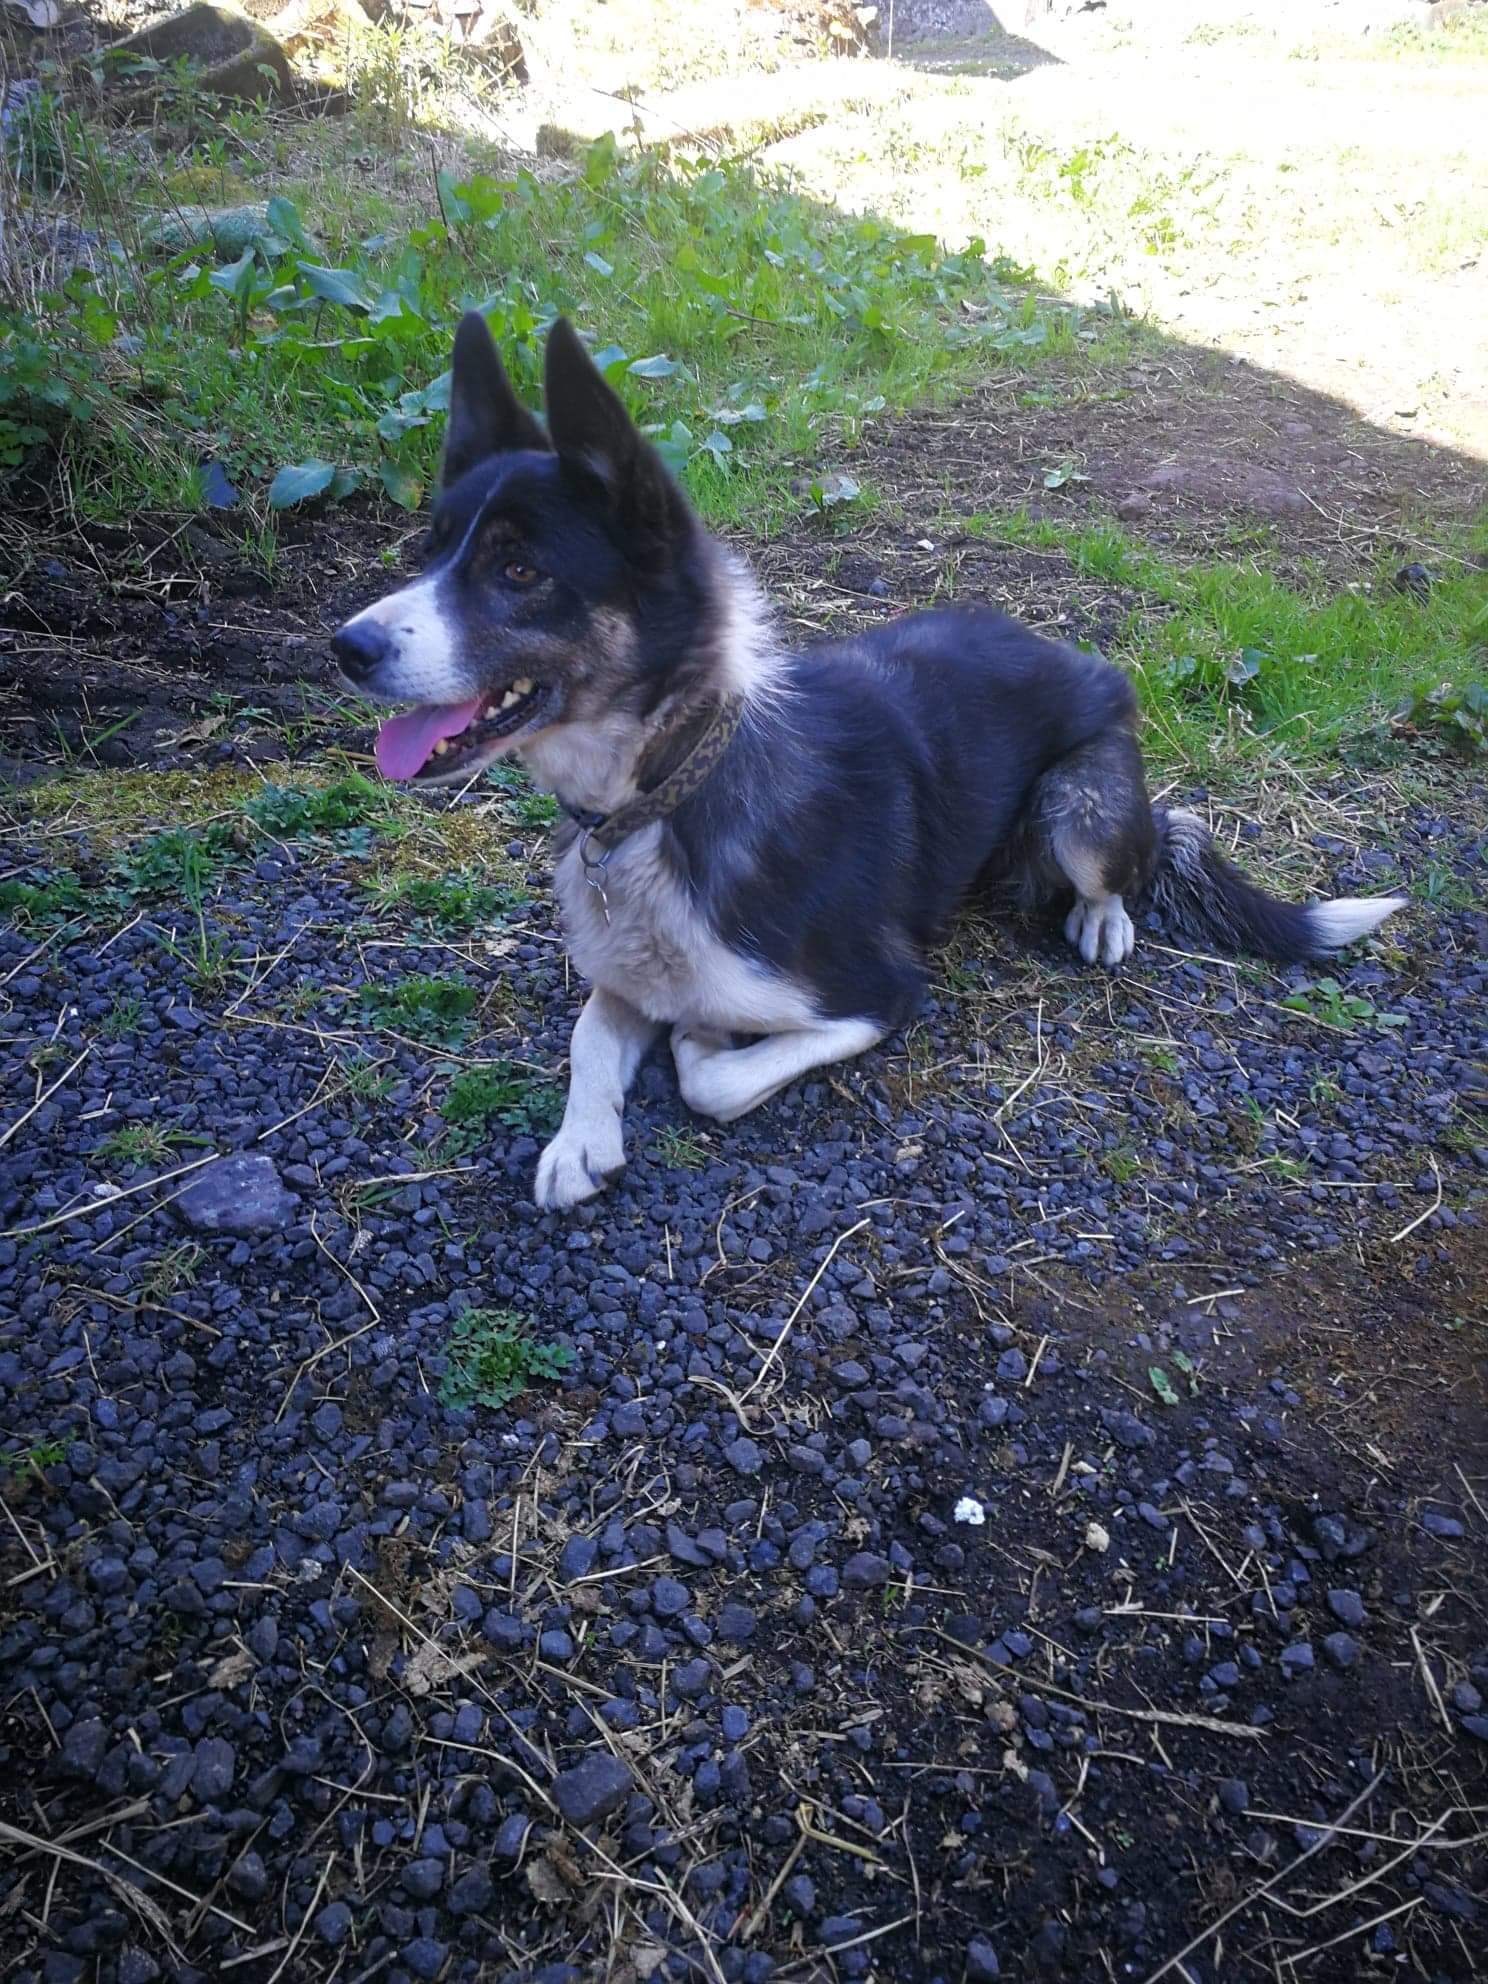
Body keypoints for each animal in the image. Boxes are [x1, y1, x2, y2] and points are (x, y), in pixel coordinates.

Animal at [332, 313, 1406, 1211]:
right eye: (430, 552)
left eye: (519, 570)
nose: (346, 648)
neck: (671, 789)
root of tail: (1090, 668)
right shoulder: (626, 969)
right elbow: (592, 1027)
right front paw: (579, 1140)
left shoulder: (878, 995)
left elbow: (713, 1076)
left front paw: (700, 1038)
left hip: (1083, 807)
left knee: (1127, 860)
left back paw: (1103, 919)